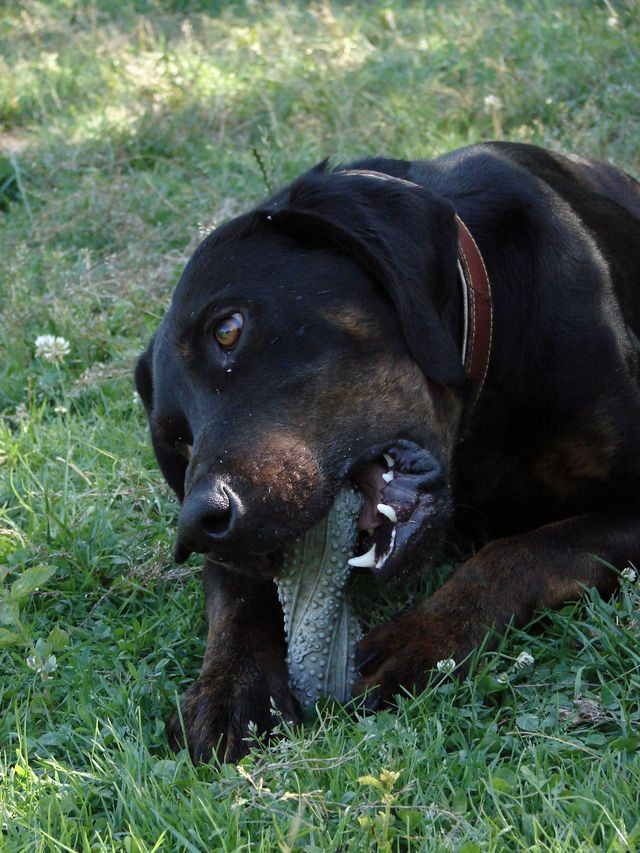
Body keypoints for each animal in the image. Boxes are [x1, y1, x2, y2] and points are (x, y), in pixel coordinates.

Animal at [135, 143, 640, 764]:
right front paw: (229, 685)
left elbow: (519, 554)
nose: (197, 526)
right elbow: (235, 595)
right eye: (177, 441)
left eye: (227, 329)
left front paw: (421, 637)